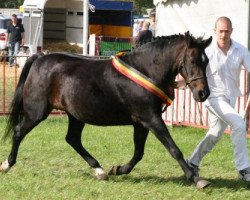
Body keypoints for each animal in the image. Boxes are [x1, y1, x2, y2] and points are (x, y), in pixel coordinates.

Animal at [0, 32, 212, 188]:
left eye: (207, 61)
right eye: (193, 61)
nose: (203, 93)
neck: (145, 70)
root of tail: (39, 58)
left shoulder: (142, 122)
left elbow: (139, 152)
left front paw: (117, 169)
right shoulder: (150, 119)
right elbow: (173, 149)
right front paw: (196, 179)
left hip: (76, 115)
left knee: (72, 139)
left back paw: (100, 171)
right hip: (37, 112)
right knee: (19, 132)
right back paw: (7, 164)